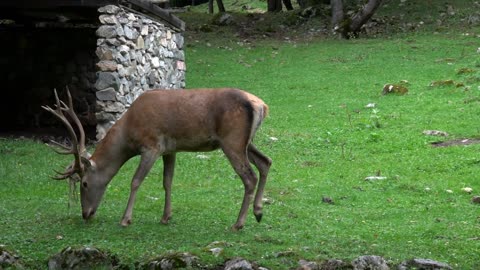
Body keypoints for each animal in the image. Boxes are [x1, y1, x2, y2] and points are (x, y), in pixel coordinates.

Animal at [42, 88, 270, 230]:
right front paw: (165, 217)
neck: (128, 132)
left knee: (250, 177)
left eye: (85, 183)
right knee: (265, 162)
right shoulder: (170, 150)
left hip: (232, 140)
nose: (85, 214)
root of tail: (262, 106)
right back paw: (258, 212)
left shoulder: (152, 146)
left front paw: (125, 219)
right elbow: (167, 181)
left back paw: (238, 224)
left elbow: (135, 181)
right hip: (245, 142)